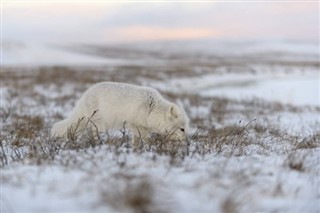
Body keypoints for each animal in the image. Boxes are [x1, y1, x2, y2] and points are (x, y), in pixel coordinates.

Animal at [51, 82, 189, 142]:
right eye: (182, 129)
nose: (187, 143)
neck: (152, 109)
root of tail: (83, 96)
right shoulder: (134, 124)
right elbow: (144, 137)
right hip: (99, 124)